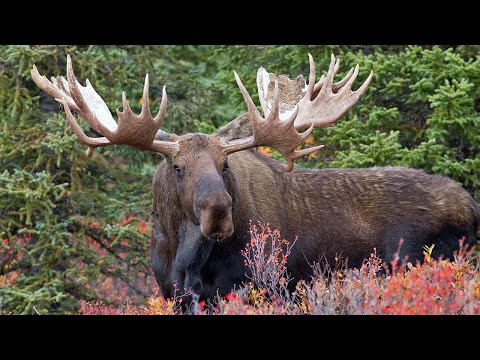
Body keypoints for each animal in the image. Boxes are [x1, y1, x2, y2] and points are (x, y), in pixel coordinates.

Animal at [31, 53, 478, 300]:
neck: (184, 257)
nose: (217, 211)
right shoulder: (172, 293)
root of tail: (472, 206)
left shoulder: (258, 286)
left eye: (225, 165)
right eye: (177, 168)